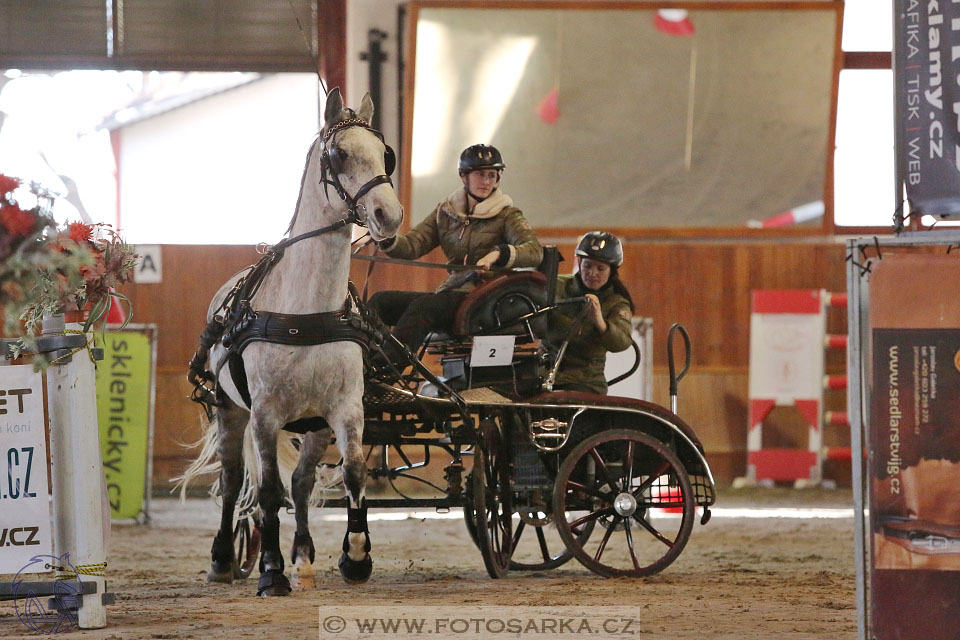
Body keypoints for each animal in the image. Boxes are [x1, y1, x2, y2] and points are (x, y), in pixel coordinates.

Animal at [180, 89, 402, 596]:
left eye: (386, 154)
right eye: (339, 155)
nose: (389, 215)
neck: (308, 312)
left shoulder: (345, 408)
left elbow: (352, 471)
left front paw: (355, 557)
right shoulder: (265, 414)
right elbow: (265, 490)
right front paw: (270, 570)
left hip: (314, 425)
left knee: (300, 483)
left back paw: (304, 557)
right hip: (231, 410)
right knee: (233, 478)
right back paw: (225, 560)